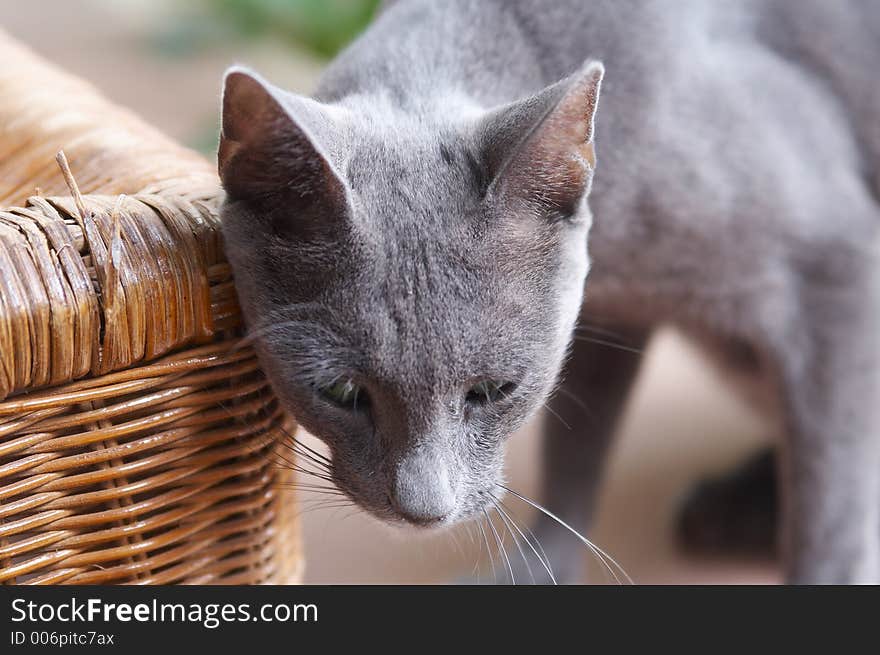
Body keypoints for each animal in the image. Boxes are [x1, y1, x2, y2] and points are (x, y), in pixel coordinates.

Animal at [218, 0, 880, 584]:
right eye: (340, 391)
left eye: (494, 390)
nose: (423, 510)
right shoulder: (604, 315)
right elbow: (576, 446)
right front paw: (541, 571)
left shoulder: (835, 262)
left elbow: (830, 497)